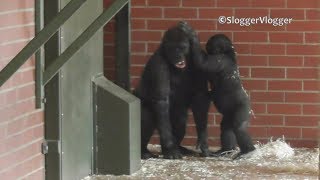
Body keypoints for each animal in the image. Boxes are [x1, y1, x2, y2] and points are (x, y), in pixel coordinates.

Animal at [134, 22, 211, 159]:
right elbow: (162, 101)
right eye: (172, 48)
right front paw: (169, 146)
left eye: (182, 48)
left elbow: (200, 96)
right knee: (147, 119)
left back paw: (178, 147)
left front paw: (203, 140)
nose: (178, 56)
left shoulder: (199, 59)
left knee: (180, 123)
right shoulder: (159, 63)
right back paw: (145, 150)